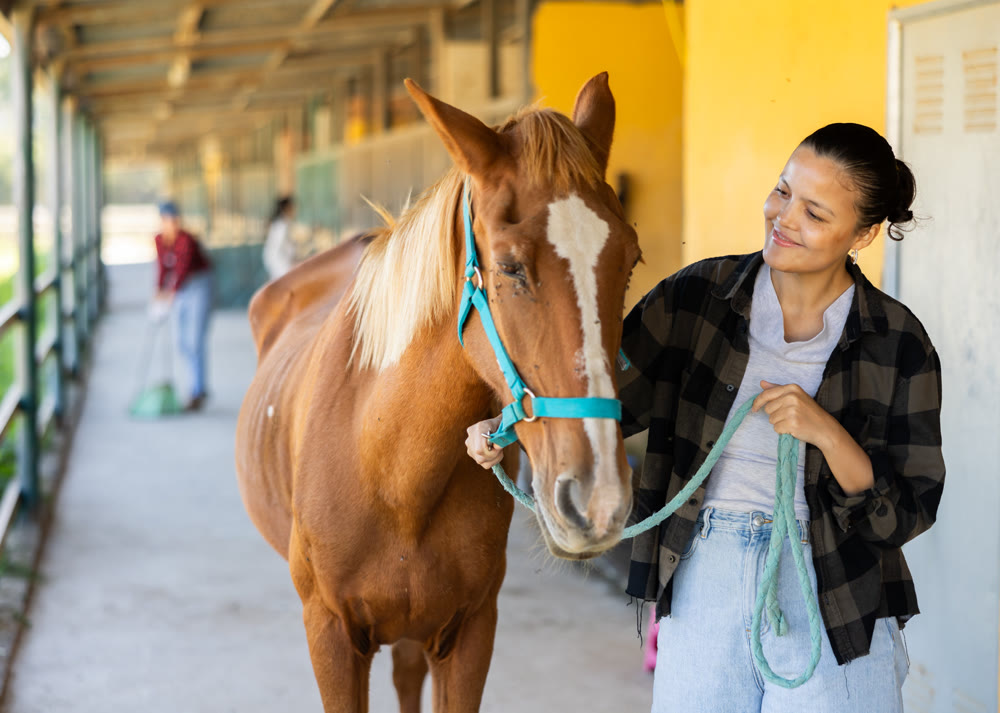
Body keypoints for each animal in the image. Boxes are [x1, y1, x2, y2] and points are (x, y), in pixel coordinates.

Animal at [235, 73, 641, 713]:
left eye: (630, 263)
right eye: (509, 267)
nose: (598, 500)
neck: (391, 471)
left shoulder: (470, 633)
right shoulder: (330, 636)